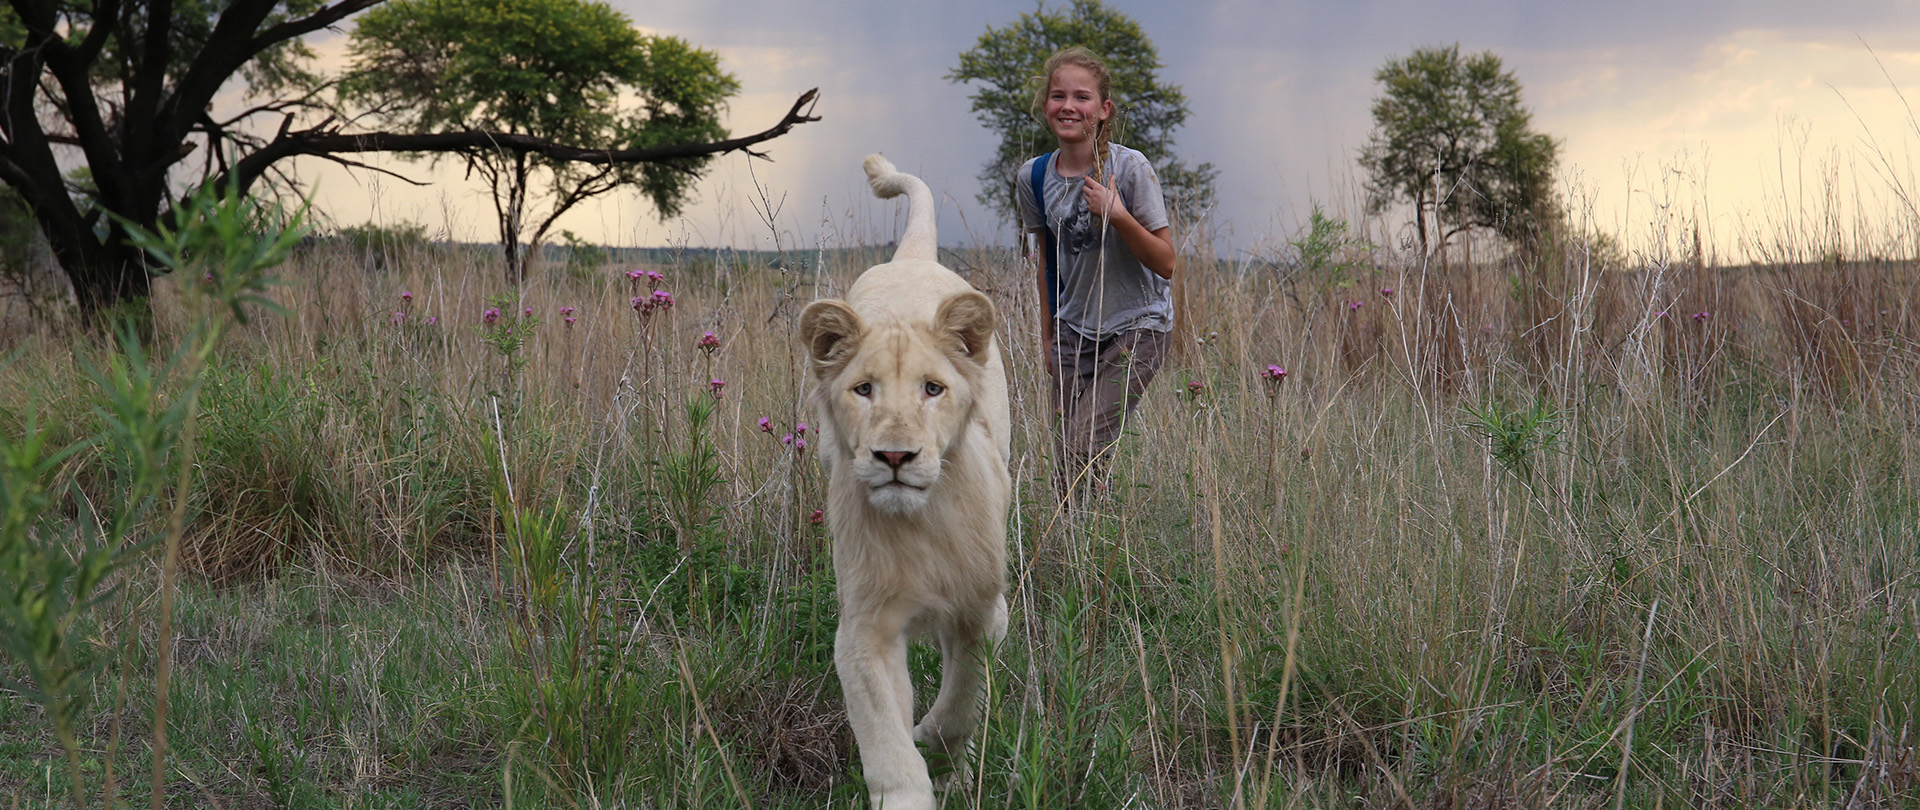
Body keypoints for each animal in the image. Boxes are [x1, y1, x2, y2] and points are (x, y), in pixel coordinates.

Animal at [798, 155, 1012, 810]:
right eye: (863, 389)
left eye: (932, 389)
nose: (894, 454)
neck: (920, 524)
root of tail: (910, 256)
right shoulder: (863, 630)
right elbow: (885, 740)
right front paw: (911, 777)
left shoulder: (984, 613)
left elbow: (963, 699)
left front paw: (938, 747)